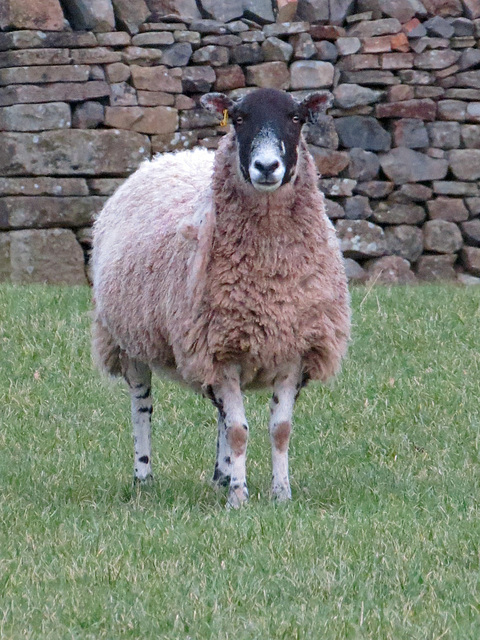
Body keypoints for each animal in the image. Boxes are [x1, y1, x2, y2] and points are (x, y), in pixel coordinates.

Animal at [92, 89, 350, 510]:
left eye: (296, 118)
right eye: (239, 118)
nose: (267, 166)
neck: (269, 275)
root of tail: (172, 155)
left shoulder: (292, 349)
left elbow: (278, 428)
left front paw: (280, 495)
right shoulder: (220, 350)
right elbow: (239, 431)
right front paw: (239, 500)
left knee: (221, 416)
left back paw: (221, 476)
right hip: (127, 339)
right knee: (142, 406)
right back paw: (144, 478)